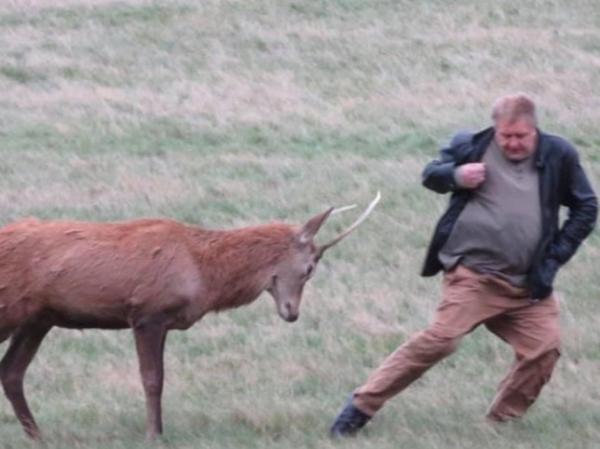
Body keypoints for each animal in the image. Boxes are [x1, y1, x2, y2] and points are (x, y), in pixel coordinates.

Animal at [0, 192, 380, 438]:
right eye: (310, 268)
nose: (292, 313)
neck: (204, 272)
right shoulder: (147, 313)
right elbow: (152, 379)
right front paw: (154, 435)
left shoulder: (163, 321)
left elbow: (160, 378)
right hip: (13, 310)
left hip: (39, 318)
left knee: (12, 371)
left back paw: (37, 435)